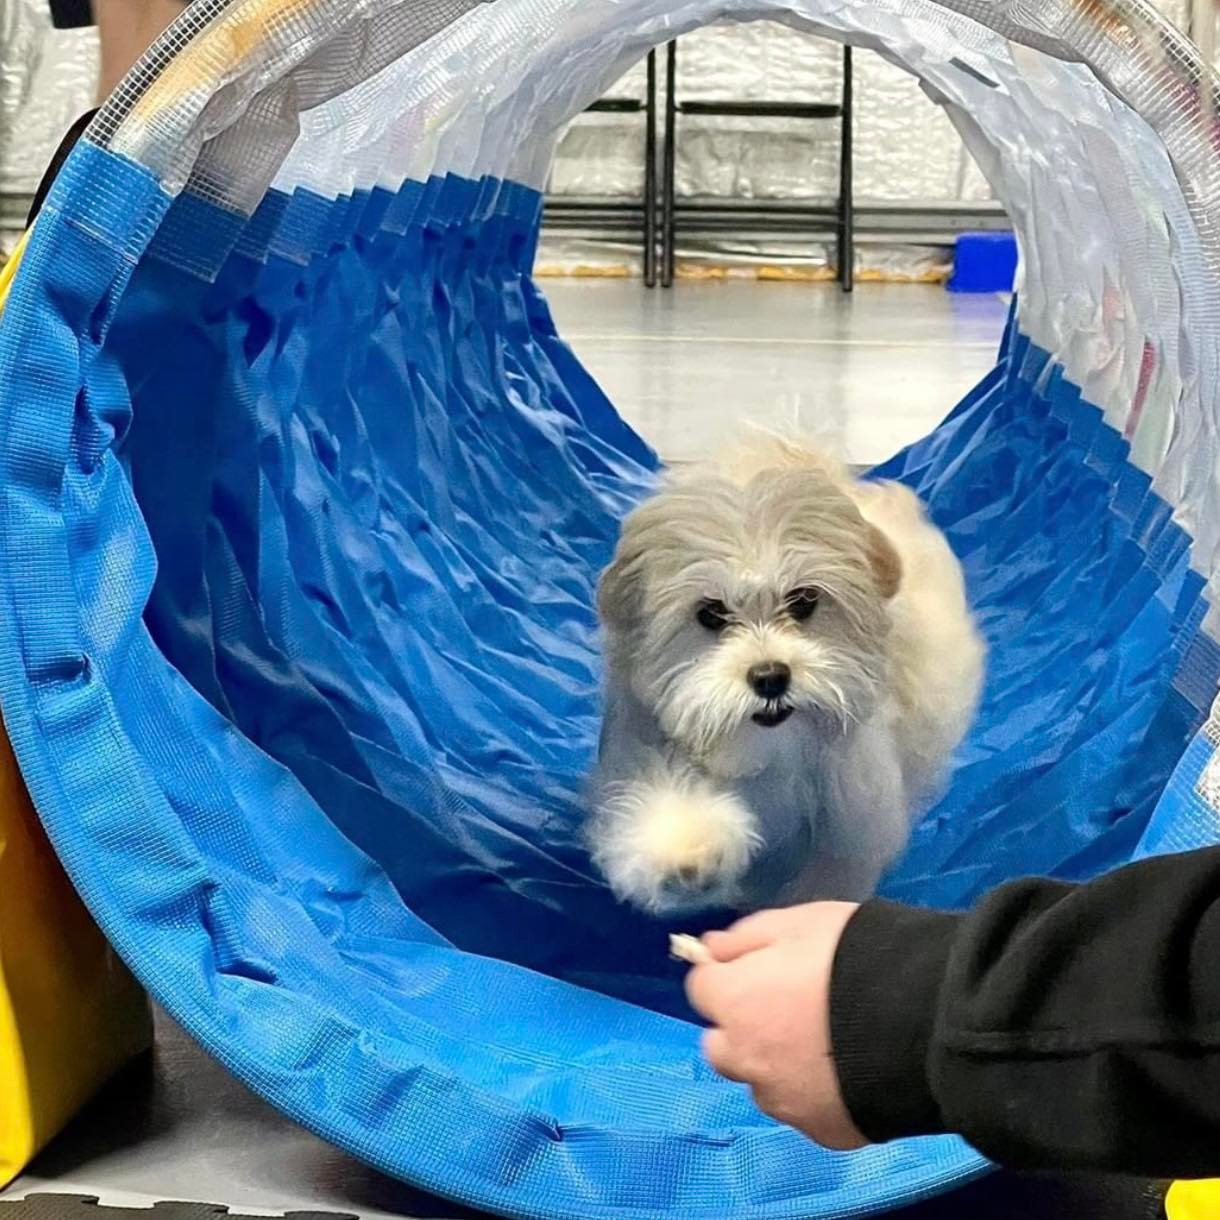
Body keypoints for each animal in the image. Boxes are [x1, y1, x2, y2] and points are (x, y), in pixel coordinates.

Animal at [588, 439, 980, 917]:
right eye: (710, 613)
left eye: (804, 600)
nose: (770, 676)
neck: (770, 752)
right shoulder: (643, 748)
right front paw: (689, 851)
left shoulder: (850, 816)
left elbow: (829, 875)